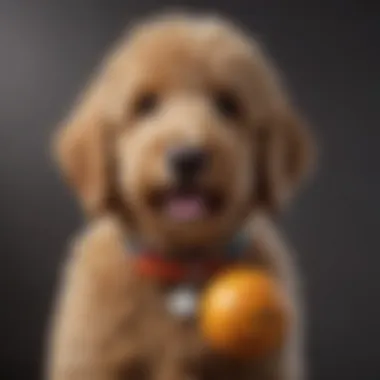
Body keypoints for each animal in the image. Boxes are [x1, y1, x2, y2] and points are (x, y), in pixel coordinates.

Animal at [46, 13, 314, 380]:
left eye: (228, 105)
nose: (187, 157)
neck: (181, 270)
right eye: (145, 104)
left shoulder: (264, 366)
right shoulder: (91, 359)